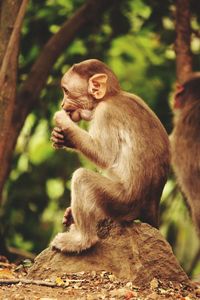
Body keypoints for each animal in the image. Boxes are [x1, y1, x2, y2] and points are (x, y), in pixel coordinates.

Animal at [49, 59, 169, 253]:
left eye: (66, 91)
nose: (62, 104)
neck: (110, 97)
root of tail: (150, 209)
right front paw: (59, 136)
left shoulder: (105, 113)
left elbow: (104, 155)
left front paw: (63, 122)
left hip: (121, 202)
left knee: (82, 178)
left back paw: (83, 240)